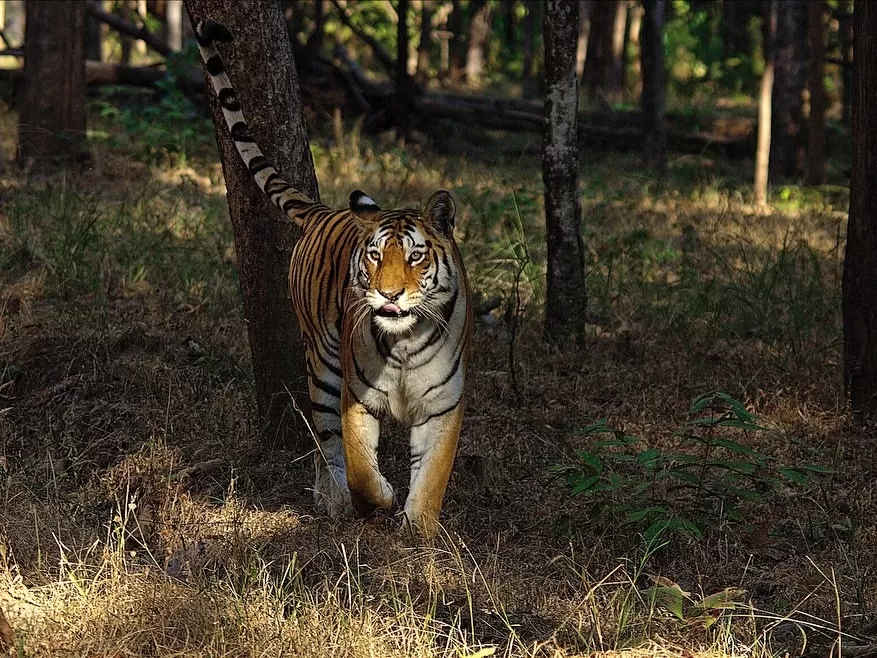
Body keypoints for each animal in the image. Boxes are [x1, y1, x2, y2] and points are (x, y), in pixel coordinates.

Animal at [194, 20, 472, 537]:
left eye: (415, 257)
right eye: (376, 256)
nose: (389, 293)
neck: (404, 343)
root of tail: (324, 212)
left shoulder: (443, 404)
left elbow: (432, 475)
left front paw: (419, 530)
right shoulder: (355, 397)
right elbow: (360, 463)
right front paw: (377, 500)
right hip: (321, 362)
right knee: (325, 440)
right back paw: (333, 499)